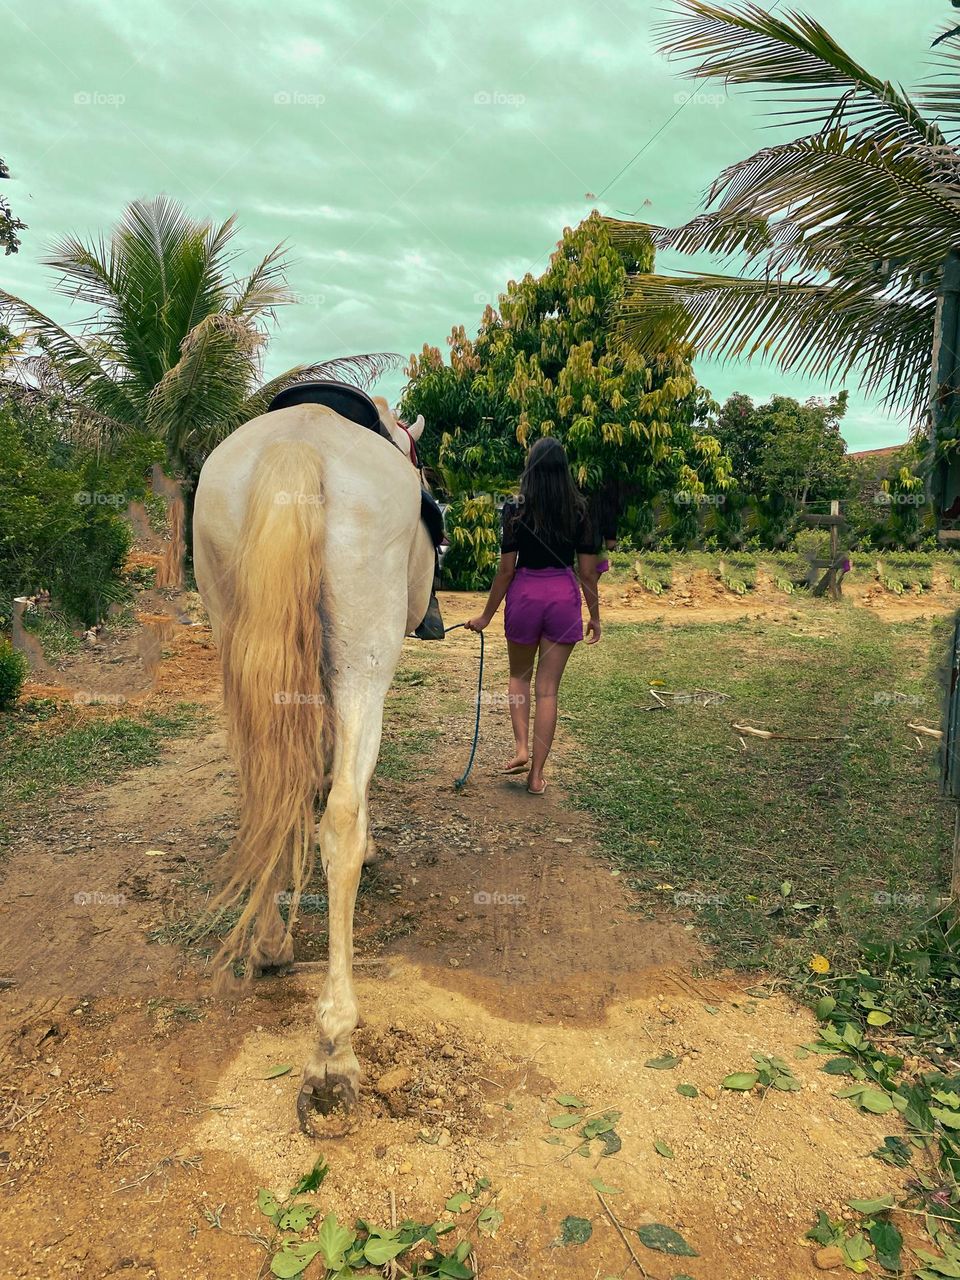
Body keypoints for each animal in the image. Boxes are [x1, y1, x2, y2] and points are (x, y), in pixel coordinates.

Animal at [192, 393, 432, 1128]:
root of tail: (298, 443)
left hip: (240, 650)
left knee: (264, 797)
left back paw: (270, 945)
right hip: (363, 666)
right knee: (342, 822)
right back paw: (332, 1054)